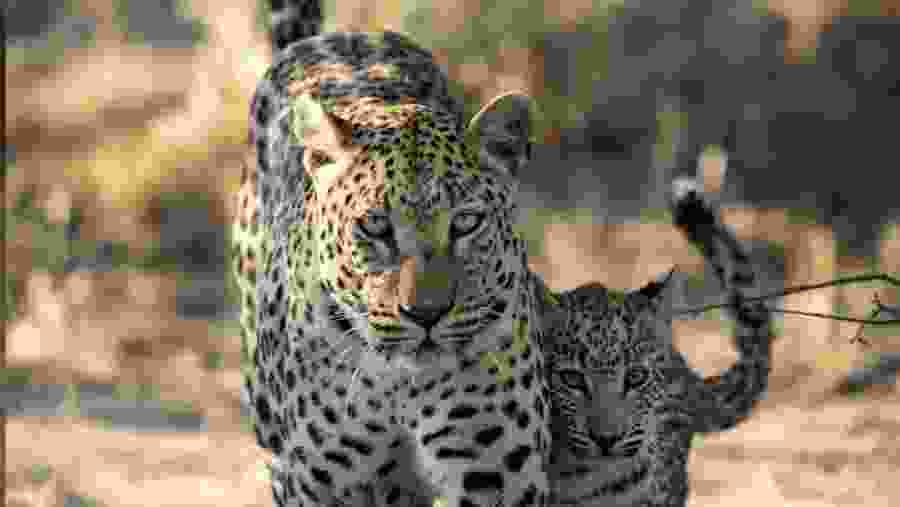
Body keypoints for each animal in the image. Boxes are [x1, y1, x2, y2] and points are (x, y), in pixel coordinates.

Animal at [232, 1, 552, 506]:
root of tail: (337, 36)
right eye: (375, 226)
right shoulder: (317, 483)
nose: (427, 314)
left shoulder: (497, 475)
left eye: (466, 222)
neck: (399, 387)